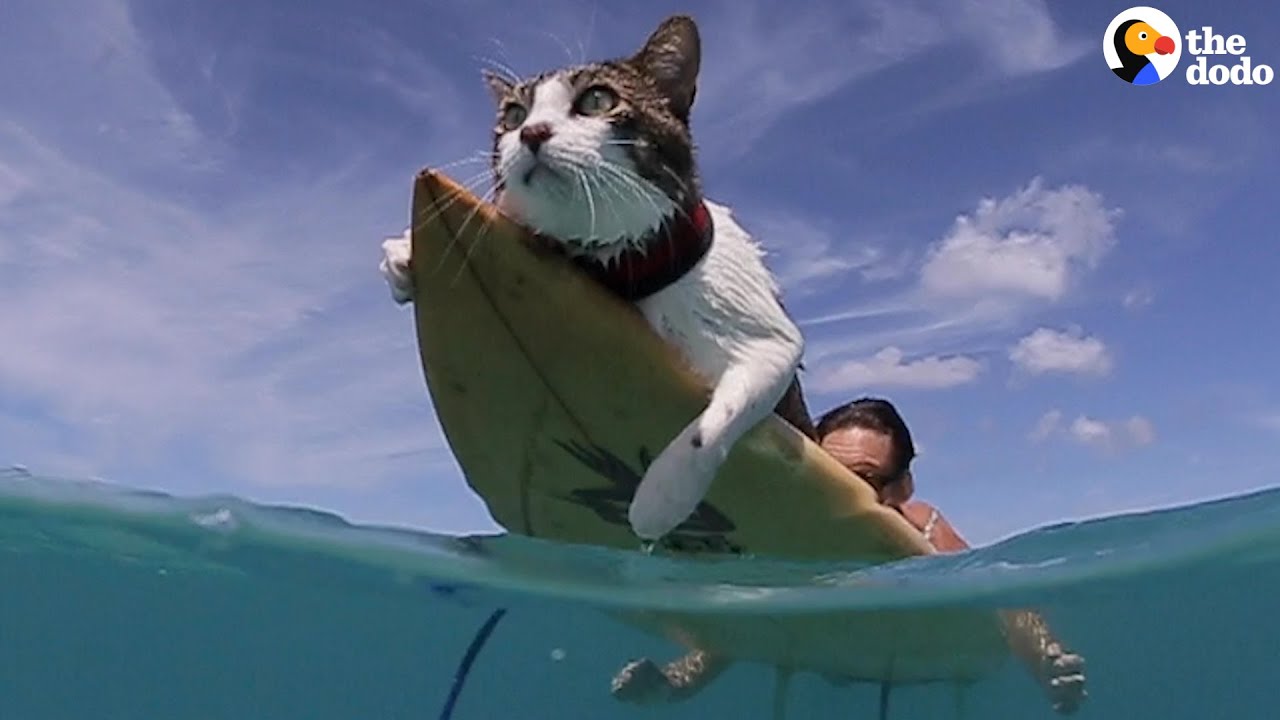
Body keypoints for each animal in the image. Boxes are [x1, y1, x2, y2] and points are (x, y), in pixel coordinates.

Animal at [384, 14, 814, 540]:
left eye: (596, 100)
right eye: (513, 115)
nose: (532, 132)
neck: (619, 264)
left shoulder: (769, 340)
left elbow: (717, 418)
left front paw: (661, 497)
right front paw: (405, 252)